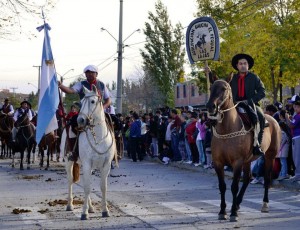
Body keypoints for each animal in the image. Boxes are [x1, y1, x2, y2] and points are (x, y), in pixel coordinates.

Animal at [62, 84, 118, 219]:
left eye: (92, 101)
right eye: (81, 102)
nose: (81, 120)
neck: (98, 138)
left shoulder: (105, 165)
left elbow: (103, 187)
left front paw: (105, 211)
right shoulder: (87, 163)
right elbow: (87, 187)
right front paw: (84, 213)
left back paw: (91, 207)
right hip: (68, 161)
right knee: (70, 180)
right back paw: (70, 205)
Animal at [206, 79, 282, 221]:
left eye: (224, 88)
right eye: (211, 87)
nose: (210, 106)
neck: (227, 129)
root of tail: (272, 119)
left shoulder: (237, 162)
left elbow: (234, 186)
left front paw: (233, 214)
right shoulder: (218, 162)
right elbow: (222, 186)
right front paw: (223, 211)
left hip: (270, 155)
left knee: (267, 178)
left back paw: (264, 204)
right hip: (248, 160)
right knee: (247, 178)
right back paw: (237, 204)